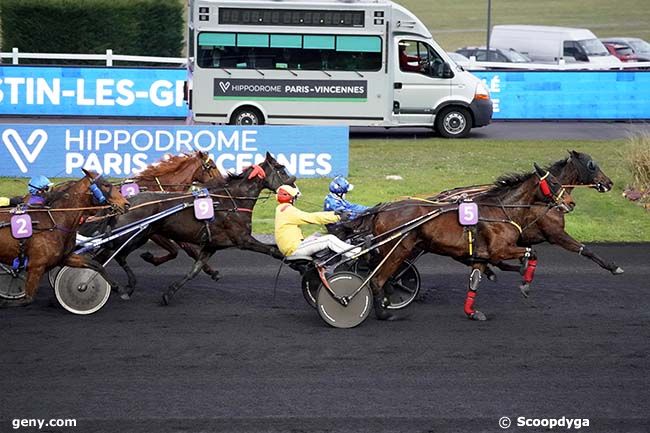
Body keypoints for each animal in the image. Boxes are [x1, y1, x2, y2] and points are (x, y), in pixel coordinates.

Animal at [0, 169, 129, 308]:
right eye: (105, 184)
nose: (126, 204)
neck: (55, 221)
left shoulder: (65, 257)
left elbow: (96, 265)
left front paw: (119, 289)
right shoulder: (36, 266)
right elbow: (27, 299)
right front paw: (4, 302)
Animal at [356, 165, 576, 320]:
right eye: (554, 183)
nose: (571, 203)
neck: (501, 211)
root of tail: (381, 210)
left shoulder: (481, 255)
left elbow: (475, 282)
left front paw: (472, 312)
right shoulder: (499, 250)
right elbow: (532, 252)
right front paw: (525, 283)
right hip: (398, 249)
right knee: (378, 279)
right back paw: (383, 313)